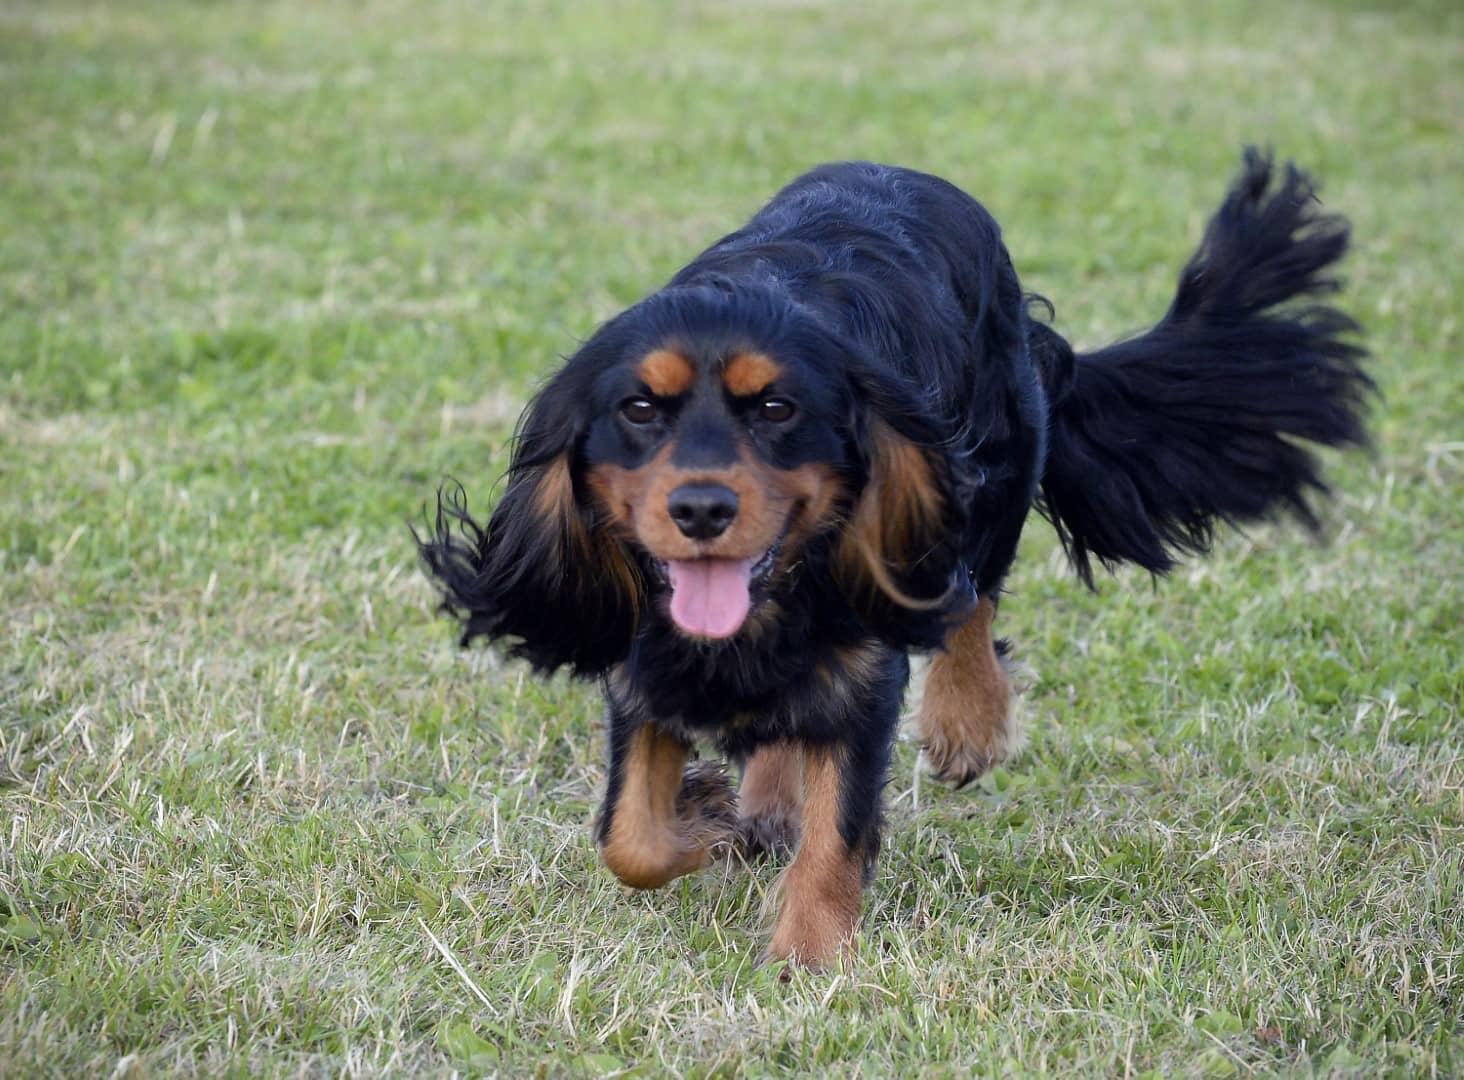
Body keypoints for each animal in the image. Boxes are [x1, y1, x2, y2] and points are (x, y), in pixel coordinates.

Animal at [415, 147, 1370, 965]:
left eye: (778, 409)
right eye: (640, 410)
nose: (701, 509)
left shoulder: (871, 652)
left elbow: (837, 827)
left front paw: (806, 960)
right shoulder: (642, 658)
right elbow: (630, 837)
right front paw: (713, 814)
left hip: (993, 460)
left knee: (968, 594)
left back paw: (965, 725)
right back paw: (767, 797)